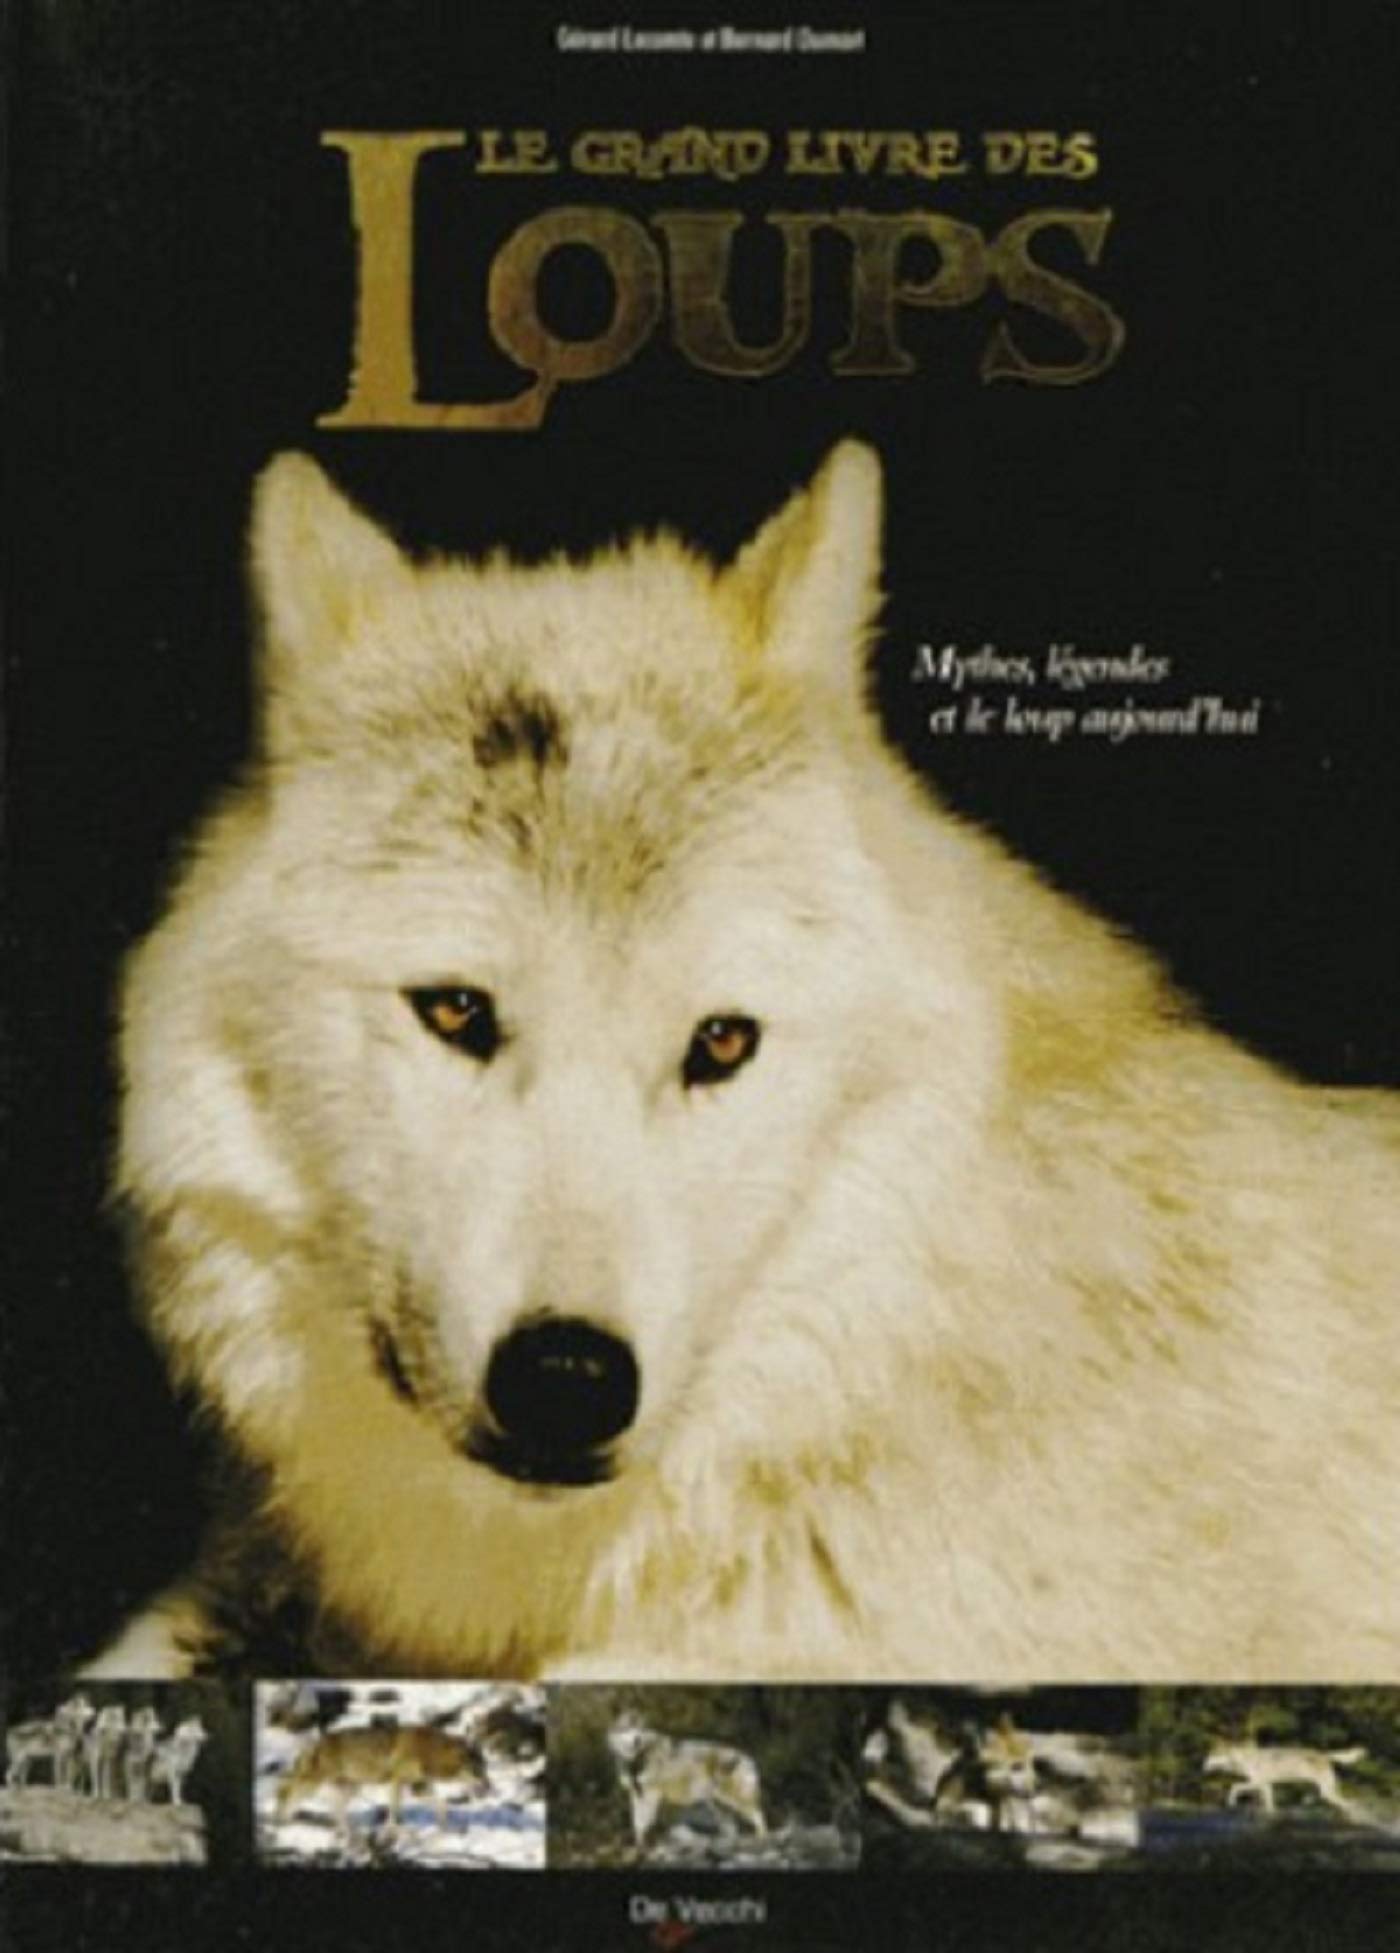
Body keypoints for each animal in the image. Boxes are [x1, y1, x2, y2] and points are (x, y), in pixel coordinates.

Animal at [607, 1711, 766, 1849]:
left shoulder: (650, 1794)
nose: (637, 1740)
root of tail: (747, 1757)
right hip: (719, 1807)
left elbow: (644, 1821)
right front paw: (638, 1845)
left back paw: (761, 1839)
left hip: (735, 1800)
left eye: (640, 1729)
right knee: (733, 1827)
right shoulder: (636, 1794)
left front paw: (644, 1846)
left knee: (759, 1816)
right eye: (627, 1728)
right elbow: (636, 1823)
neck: (634, 1759)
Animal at [1203, 1741, 1367, 1815]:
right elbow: (1269, 1805)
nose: (1202, 1765)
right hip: (1321, 1791)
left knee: (1348, 1803)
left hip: (1327, 1792)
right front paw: (1271, 1814)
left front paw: (1231, 1802)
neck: (1242, 1760)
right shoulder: (1266, 1786)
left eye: (1211, 1757)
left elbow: (1235, 1787)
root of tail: (1323, 1754)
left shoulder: (1258, 1782)